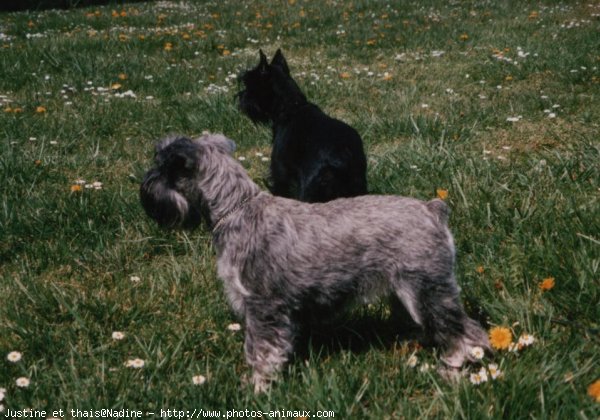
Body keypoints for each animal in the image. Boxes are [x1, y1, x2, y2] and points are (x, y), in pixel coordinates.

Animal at [141, 133, 492, 392]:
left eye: (161, 168)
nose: (144, 187)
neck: (236, 208)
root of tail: (433, 210)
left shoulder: (262, 307)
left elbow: (261, 352)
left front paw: (258, 388)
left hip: (428, 290)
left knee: (467, 331)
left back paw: (452, 368)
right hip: (407, 292)